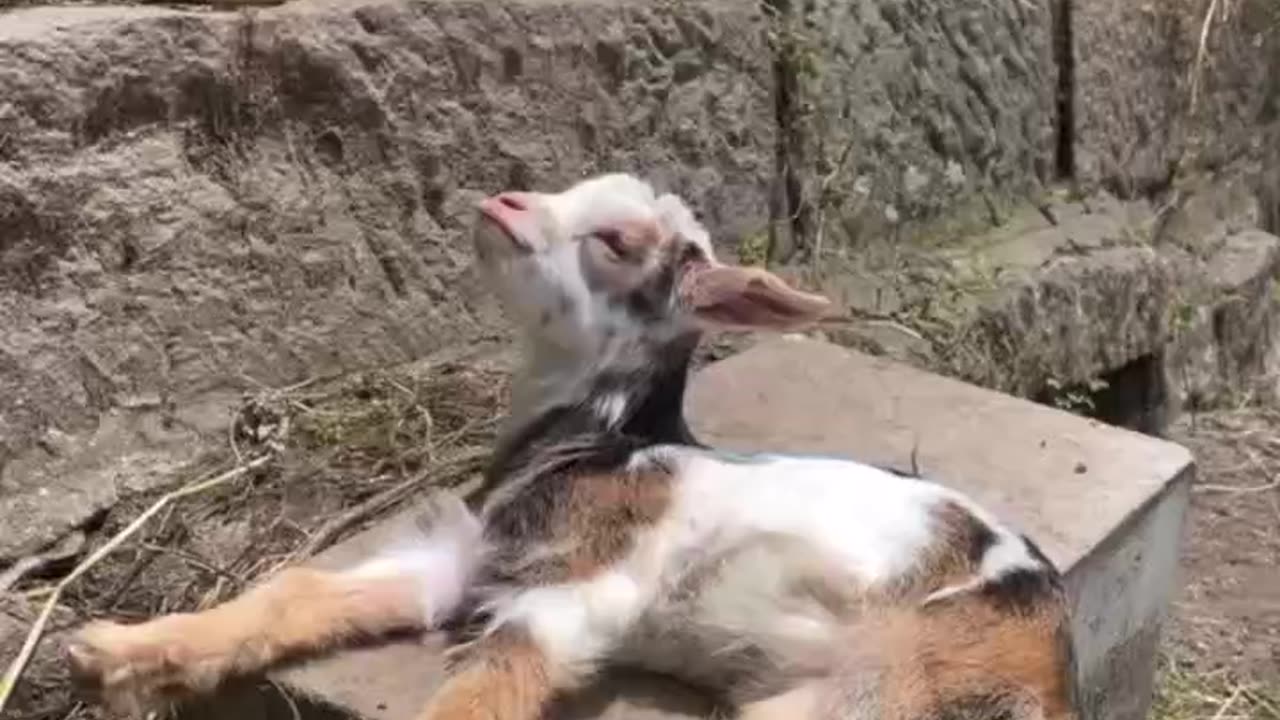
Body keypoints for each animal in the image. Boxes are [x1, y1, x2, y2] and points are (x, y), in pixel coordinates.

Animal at [67, 174, 1080, 717]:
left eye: (619, 240)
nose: (504, 201)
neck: (598, 445)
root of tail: (1053, 651)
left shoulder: (573, 599)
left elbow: (485, 690)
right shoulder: (468, 561)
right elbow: (299, 591)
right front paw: (110, 652)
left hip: (887, 687)